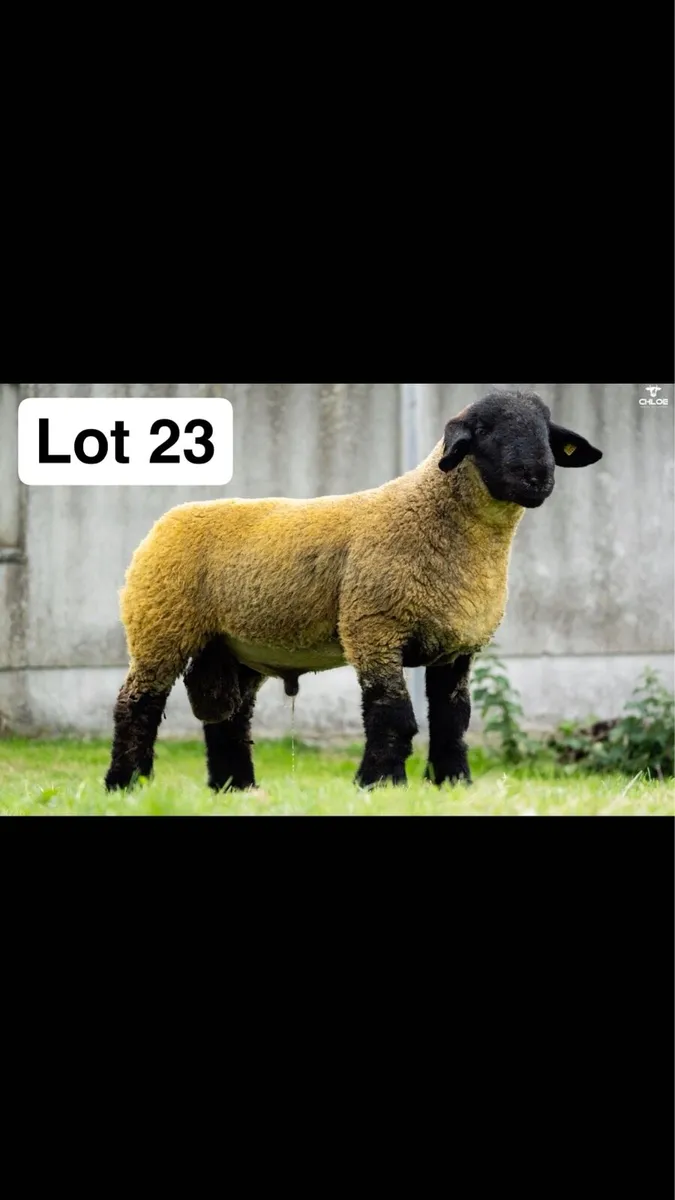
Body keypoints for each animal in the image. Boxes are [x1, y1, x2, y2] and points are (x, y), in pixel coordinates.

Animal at [105, 389, 603, 793]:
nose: (538, 477)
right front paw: (379, 784)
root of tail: (166, 520)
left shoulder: (457, 646)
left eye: (546, 430)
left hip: (232, 648)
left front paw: (452, 783)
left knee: (228, 719)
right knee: (138, 705)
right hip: (160, 624)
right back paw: (126, 785)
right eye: (484, 430)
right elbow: (393, 714)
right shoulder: (374, 627)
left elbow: (452, 720)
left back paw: (236, 789)